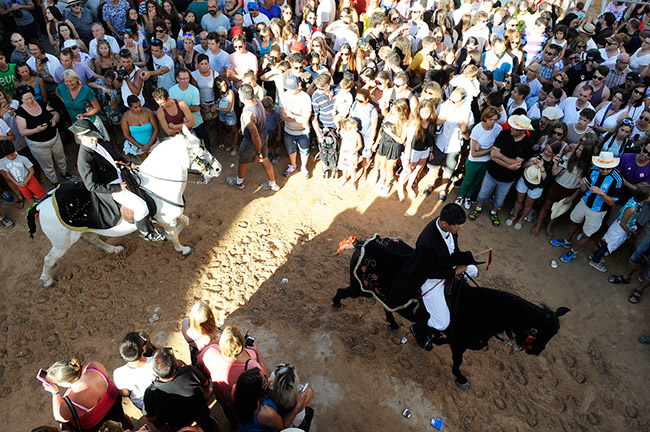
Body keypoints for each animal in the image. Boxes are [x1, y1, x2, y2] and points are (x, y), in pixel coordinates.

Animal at [27, 130, 223, 288]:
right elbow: (174, 234)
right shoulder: (167, 219)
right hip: (62, 243)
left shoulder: (170, 216)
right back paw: (47, 281)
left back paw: (114, 250)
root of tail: (43, 203)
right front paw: (182, 249)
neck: (159, 183)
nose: (218, 169)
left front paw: (170, 237)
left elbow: (185, 222)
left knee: (92, 238)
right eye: (200, 153)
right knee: (49, 259)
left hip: (80, 231)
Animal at [332, 235, 568, 390]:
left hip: (379, 294)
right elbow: (457, 360)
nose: (537, 352)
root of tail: (363, 242)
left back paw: (393, 323)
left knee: (385, 306)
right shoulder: (459, 342)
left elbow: (439, 339)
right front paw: (460, 378)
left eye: (553, 335)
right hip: (359, 289)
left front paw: (429, 339)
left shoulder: (459, 338)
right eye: (541, 333)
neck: (479, 308)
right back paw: (336, 303)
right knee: (343, 292)